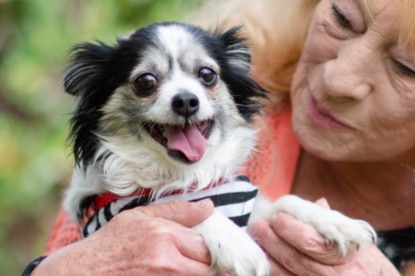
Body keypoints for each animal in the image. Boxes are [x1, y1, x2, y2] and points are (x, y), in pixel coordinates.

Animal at [63, 22, 378, 276]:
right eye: (145, 82)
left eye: (207, 75)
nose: (186, 100)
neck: (186, 177)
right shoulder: (120, 216)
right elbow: (191, 210)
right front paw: (238, 245)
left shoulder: (251, 210)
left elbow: (282, 201)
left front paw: (334, 221)